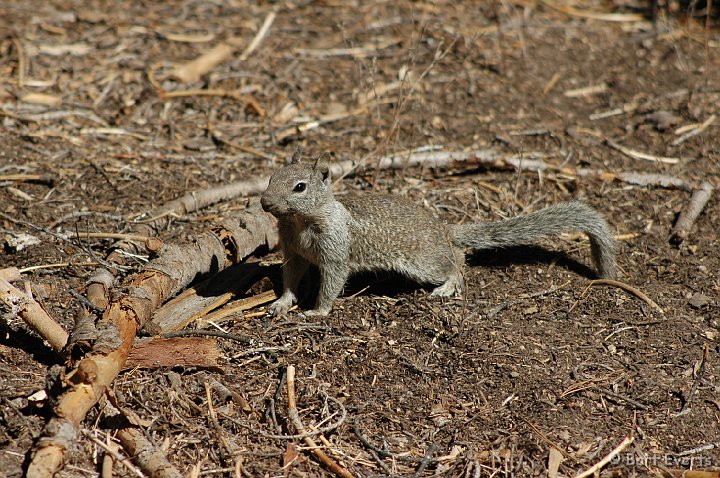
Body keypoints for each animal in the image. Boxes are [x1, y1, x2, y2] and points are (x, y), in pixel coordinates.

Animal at [262, 151, 616, 316]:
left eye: (299, 187)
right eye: (271, 176)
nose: (265, 202)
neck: (301, 222)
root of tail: (444, 230)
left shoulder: (335, 251)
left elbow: (333, 281)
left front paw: (317, 311)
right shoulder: (293, 253)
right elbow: (291, 278)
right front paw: (282, 303)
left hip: (423, 262)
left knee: (457, 262)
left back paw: (447, 287)